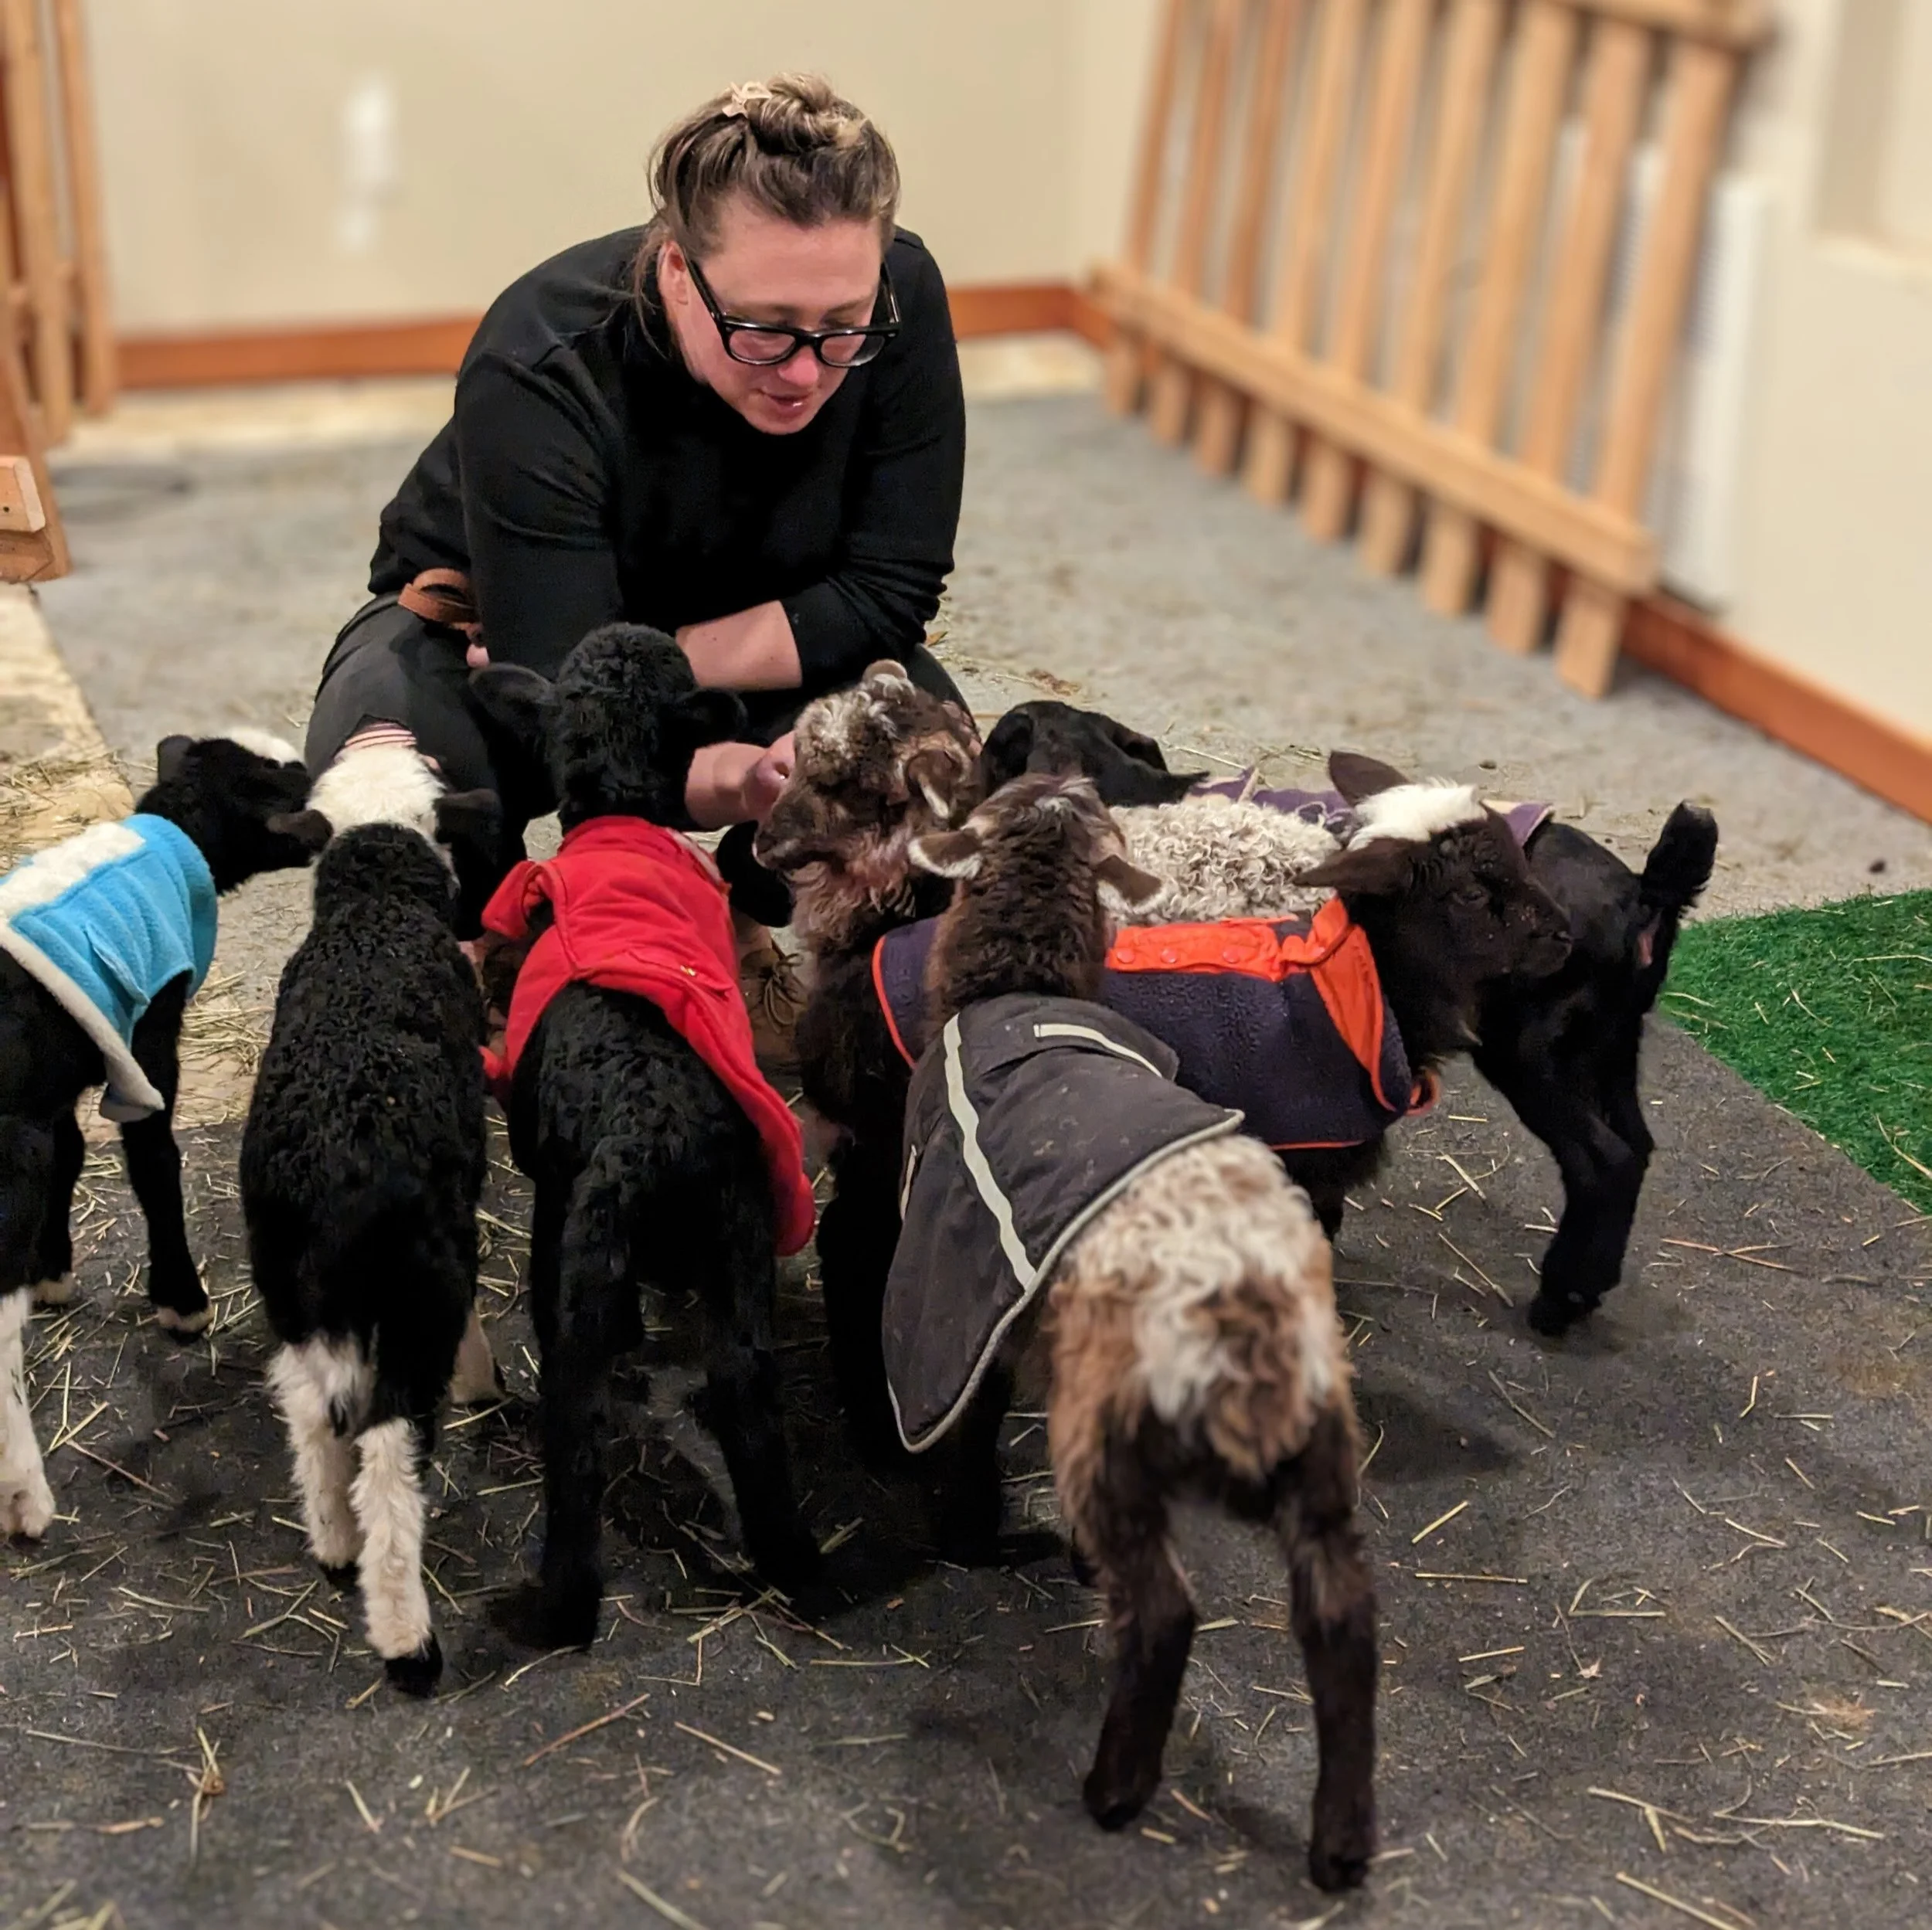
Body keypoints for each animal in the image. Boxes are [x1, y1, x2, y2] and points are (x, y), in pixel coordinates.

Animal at [0, 731, 325, 1539]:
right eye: (288, 784)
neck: (174, 829)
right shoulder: (146, 1031)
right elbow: (154, 1162)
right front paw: (181, 1299)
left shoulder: (67, 1064)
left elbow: (72, 1155)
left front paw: (53, 1268)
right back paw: (24, 1495)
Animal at [239, 743, 502, 1693]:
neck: (375, 910)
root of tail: (330, 1172)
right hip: (413, 1285)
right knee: (389, 1448)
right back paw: (404, 1637)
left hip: (284, 1277)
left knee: (310, 1410)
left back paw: (333, 1546)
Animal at [466, 624, 822, 1645]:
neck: (615, 814)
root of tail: (645, 1134)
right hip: (738, 1255)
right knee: (746, 1399)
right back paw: (796, 1565)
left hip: (580, 1275)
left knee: (575, 1441)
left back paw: (555, 1607)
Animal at [893, 773, 1377, 1891]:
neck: (1018, 977)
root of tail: (1243, 1303)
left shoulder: (961, 1265)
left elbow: (968, 1417)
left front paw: (974, 1533)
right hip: (1325, 1450)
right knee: (1340, 1621)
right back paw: (1340, 1841)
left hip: (1108, 1429)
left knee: (1163, 1614)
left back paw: (1114, 1787)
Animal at [983, 702, 1719, 1333]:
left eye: (998, 750)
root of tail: (1647, 897)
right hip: (1609, 1042)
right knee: (1637, 1147)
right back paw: (1588, 1288)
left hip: (1536, 1048)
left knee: (1603, 1160)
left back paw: (1558, 1301)